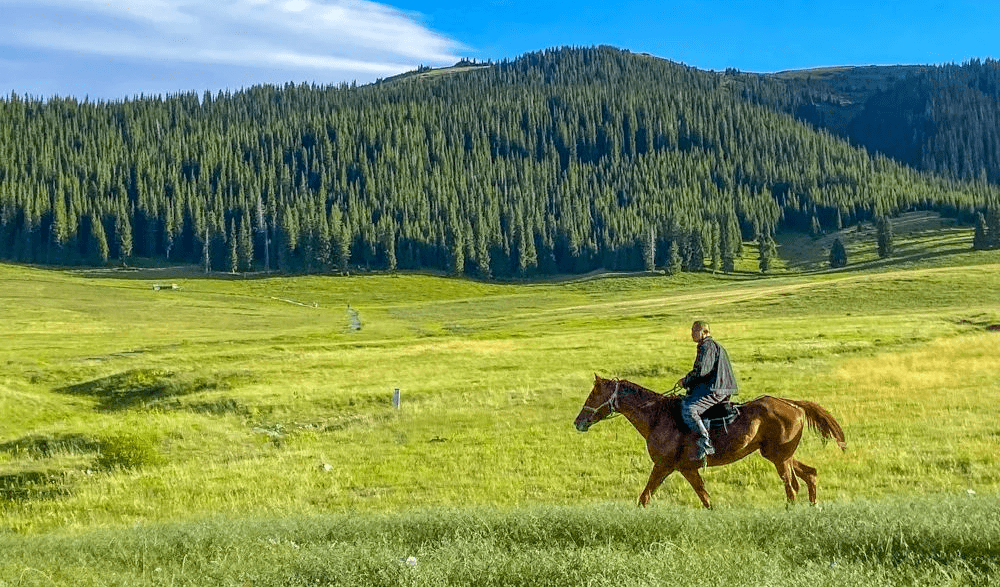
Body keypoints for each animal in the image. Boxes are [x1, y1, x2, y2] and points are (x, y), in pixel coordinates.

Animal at [576, 376, 848, 510]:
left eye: (593, 394)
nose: (578, 422)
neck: (657, 416)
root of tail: (793, 404)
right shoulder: (688, 468)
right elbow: (704, 497)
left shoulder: (663, 466)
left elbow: (645, 496)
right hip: (780, 455)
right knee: (810, 474)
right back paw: (812, 507)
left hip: (779, 458)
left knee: (792, 486)